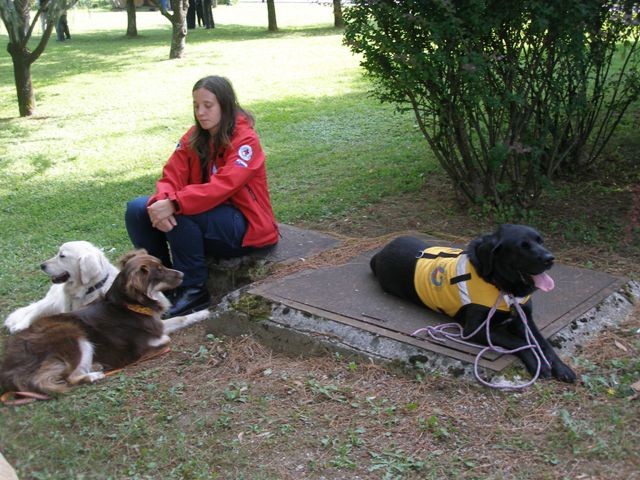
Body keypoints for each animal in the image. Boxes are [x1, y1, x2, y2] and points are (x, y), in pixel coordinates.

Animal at [0, 249, 206, 396]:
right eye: (160, 271)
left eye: (163, 265)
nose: (182, 274)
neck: (129, 305)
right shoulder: (147, 342)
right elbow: (166, 338)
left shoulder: (158, 325)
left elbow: (181, 318)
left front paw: (204, 312)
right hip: (74, 336)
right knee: (66, 378)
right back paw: (94, 374)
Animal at [370, 223, 576, 384]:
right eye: (522, 246)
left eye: (540, 241)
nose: (550, 259)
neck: (500, 285)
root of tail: (380, 252)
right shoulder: (476, 328)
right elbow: (520, 342)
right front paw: (537, 363)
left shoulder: (523, 318)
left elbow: (543, 343)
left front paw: (562, 368)